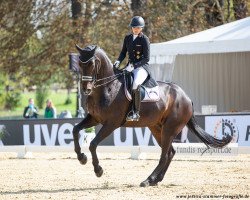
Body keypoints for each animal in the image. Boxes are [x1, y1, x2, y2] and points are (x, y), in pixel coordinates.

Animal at [73, 44, 232, 187]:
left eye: (92, 63)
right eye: (80, 63)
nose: (85, 89)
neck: (108, 87)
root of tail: (185, 97)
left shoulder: (112, 123)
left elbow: (93, 144)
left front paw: (98, 170)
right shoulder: (94, 118)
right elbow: (75, 130)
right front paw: (81, 158)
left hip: (170, 129)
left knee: (165, 155)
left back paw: (148, 180)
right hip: (156, 128)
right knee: (170, 152)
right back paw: (155, 180)